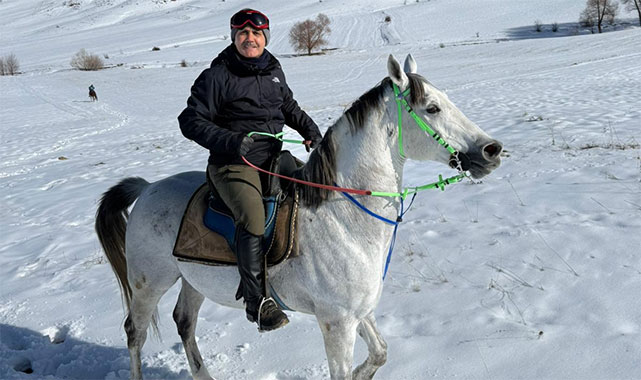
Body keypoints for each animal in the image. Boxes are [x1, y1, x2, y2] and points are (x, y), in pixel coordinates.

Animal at [97, 54, 502, 380]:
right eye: (432, 108)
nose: (491, 150)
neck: (344, 219)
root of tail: (148, 187)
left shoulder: (357, 311)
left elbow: (380, 353)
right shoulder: (336, 322)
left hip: (193, 279)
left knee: (184, 322)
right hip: (149, 282)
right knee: (135, 332)